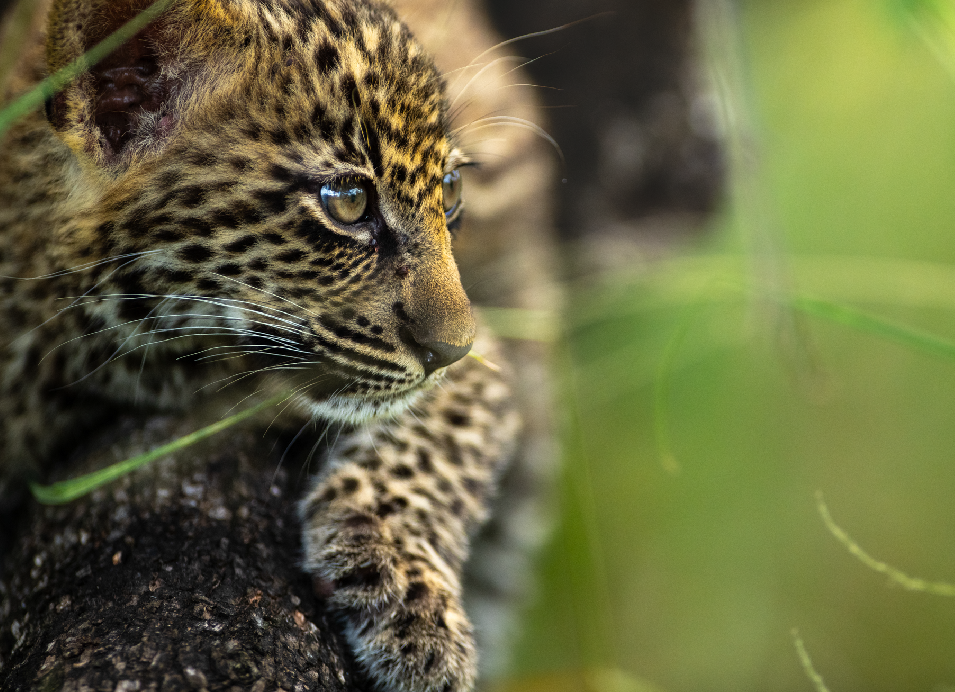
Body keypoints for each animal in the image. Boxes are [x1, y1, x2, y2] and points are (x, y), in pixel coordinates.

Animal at [0, 0, 557, 690]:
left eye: (451, 192)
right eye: (348, 202)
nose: (453, 350)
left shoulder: (486, 365)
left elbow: (436, 443)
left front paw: (406, 597)